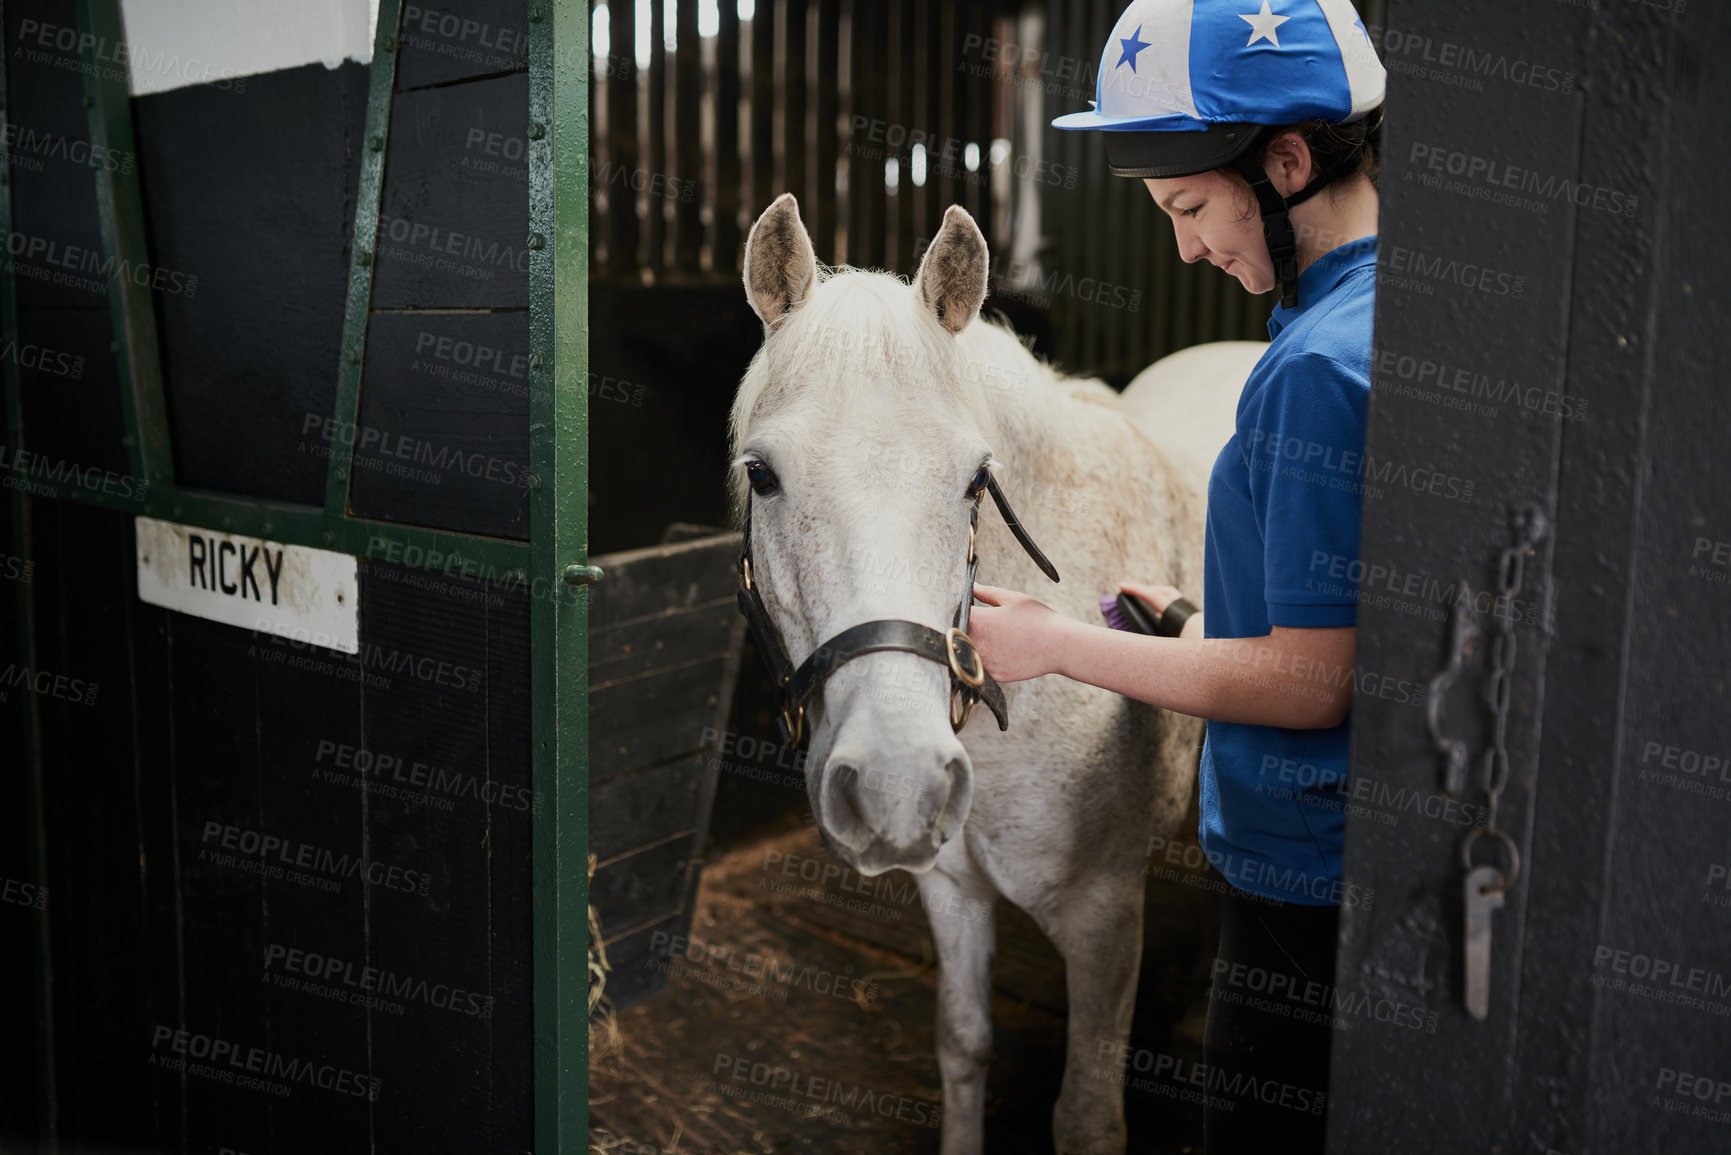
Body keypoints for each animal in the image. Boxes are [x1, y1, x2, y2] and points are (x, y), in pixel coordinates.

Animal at [723, 193, 1267, 1149]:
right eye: (763, 473)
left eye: (978, 480)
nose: (897, 781)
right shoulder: (950, 887)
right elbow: (963, 1043)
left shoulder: (1103, 915)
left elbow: (1086, 1112)